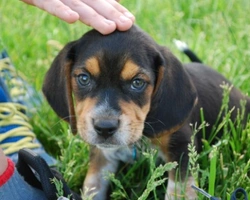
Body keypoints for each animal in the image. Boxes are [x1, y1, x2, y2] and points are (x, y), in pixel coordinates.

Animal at [43, 25, 250, 199]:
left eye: (137, 82)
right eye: (84, 78)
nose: (104, 128)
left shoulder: (181, 149)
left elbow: (178, 191)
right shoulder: (102, 156)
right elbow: (92, 186)